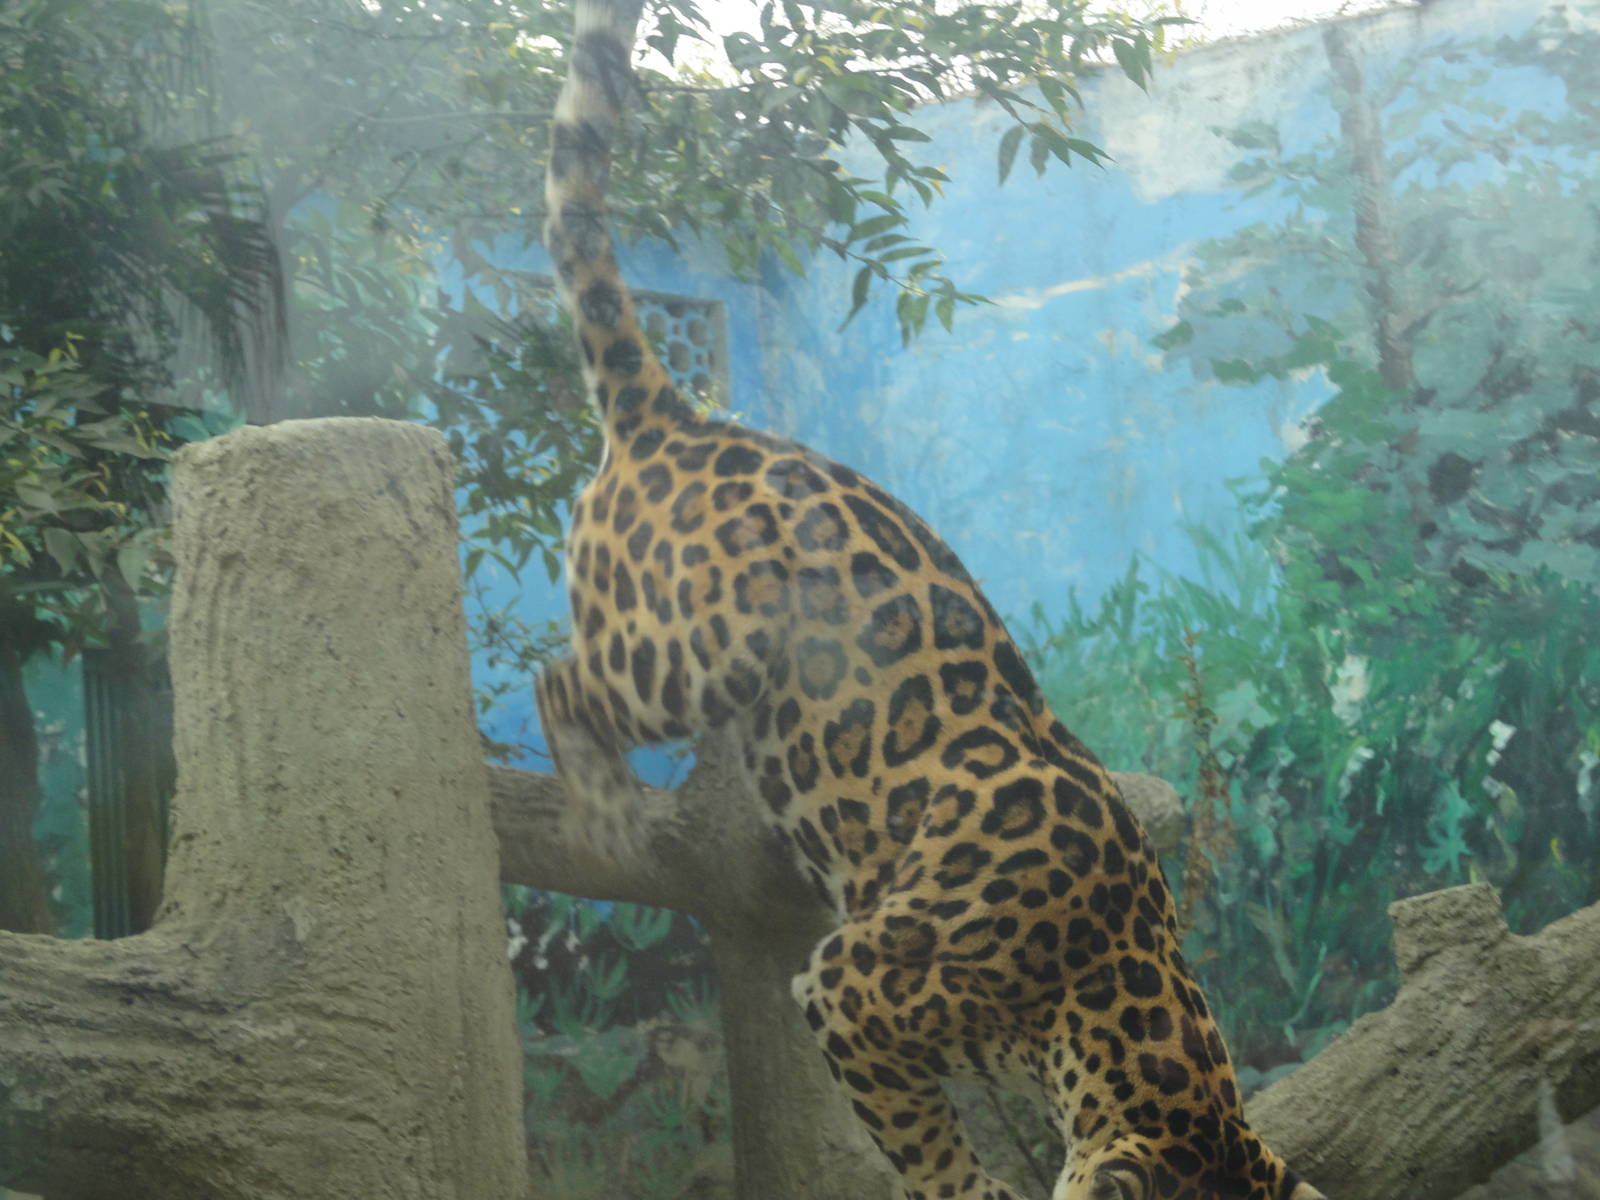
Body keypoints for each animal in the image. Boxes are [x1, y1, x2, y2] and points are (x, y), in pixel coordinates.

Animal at [534, 3, 1328, 1197]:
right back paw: (606, 810)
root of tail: (682, 419)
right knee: (561, 677)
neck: (1108, 990)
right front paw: (977, 1187)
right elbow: (920, 1132)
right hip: (690, 652)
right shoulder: (849, 988)